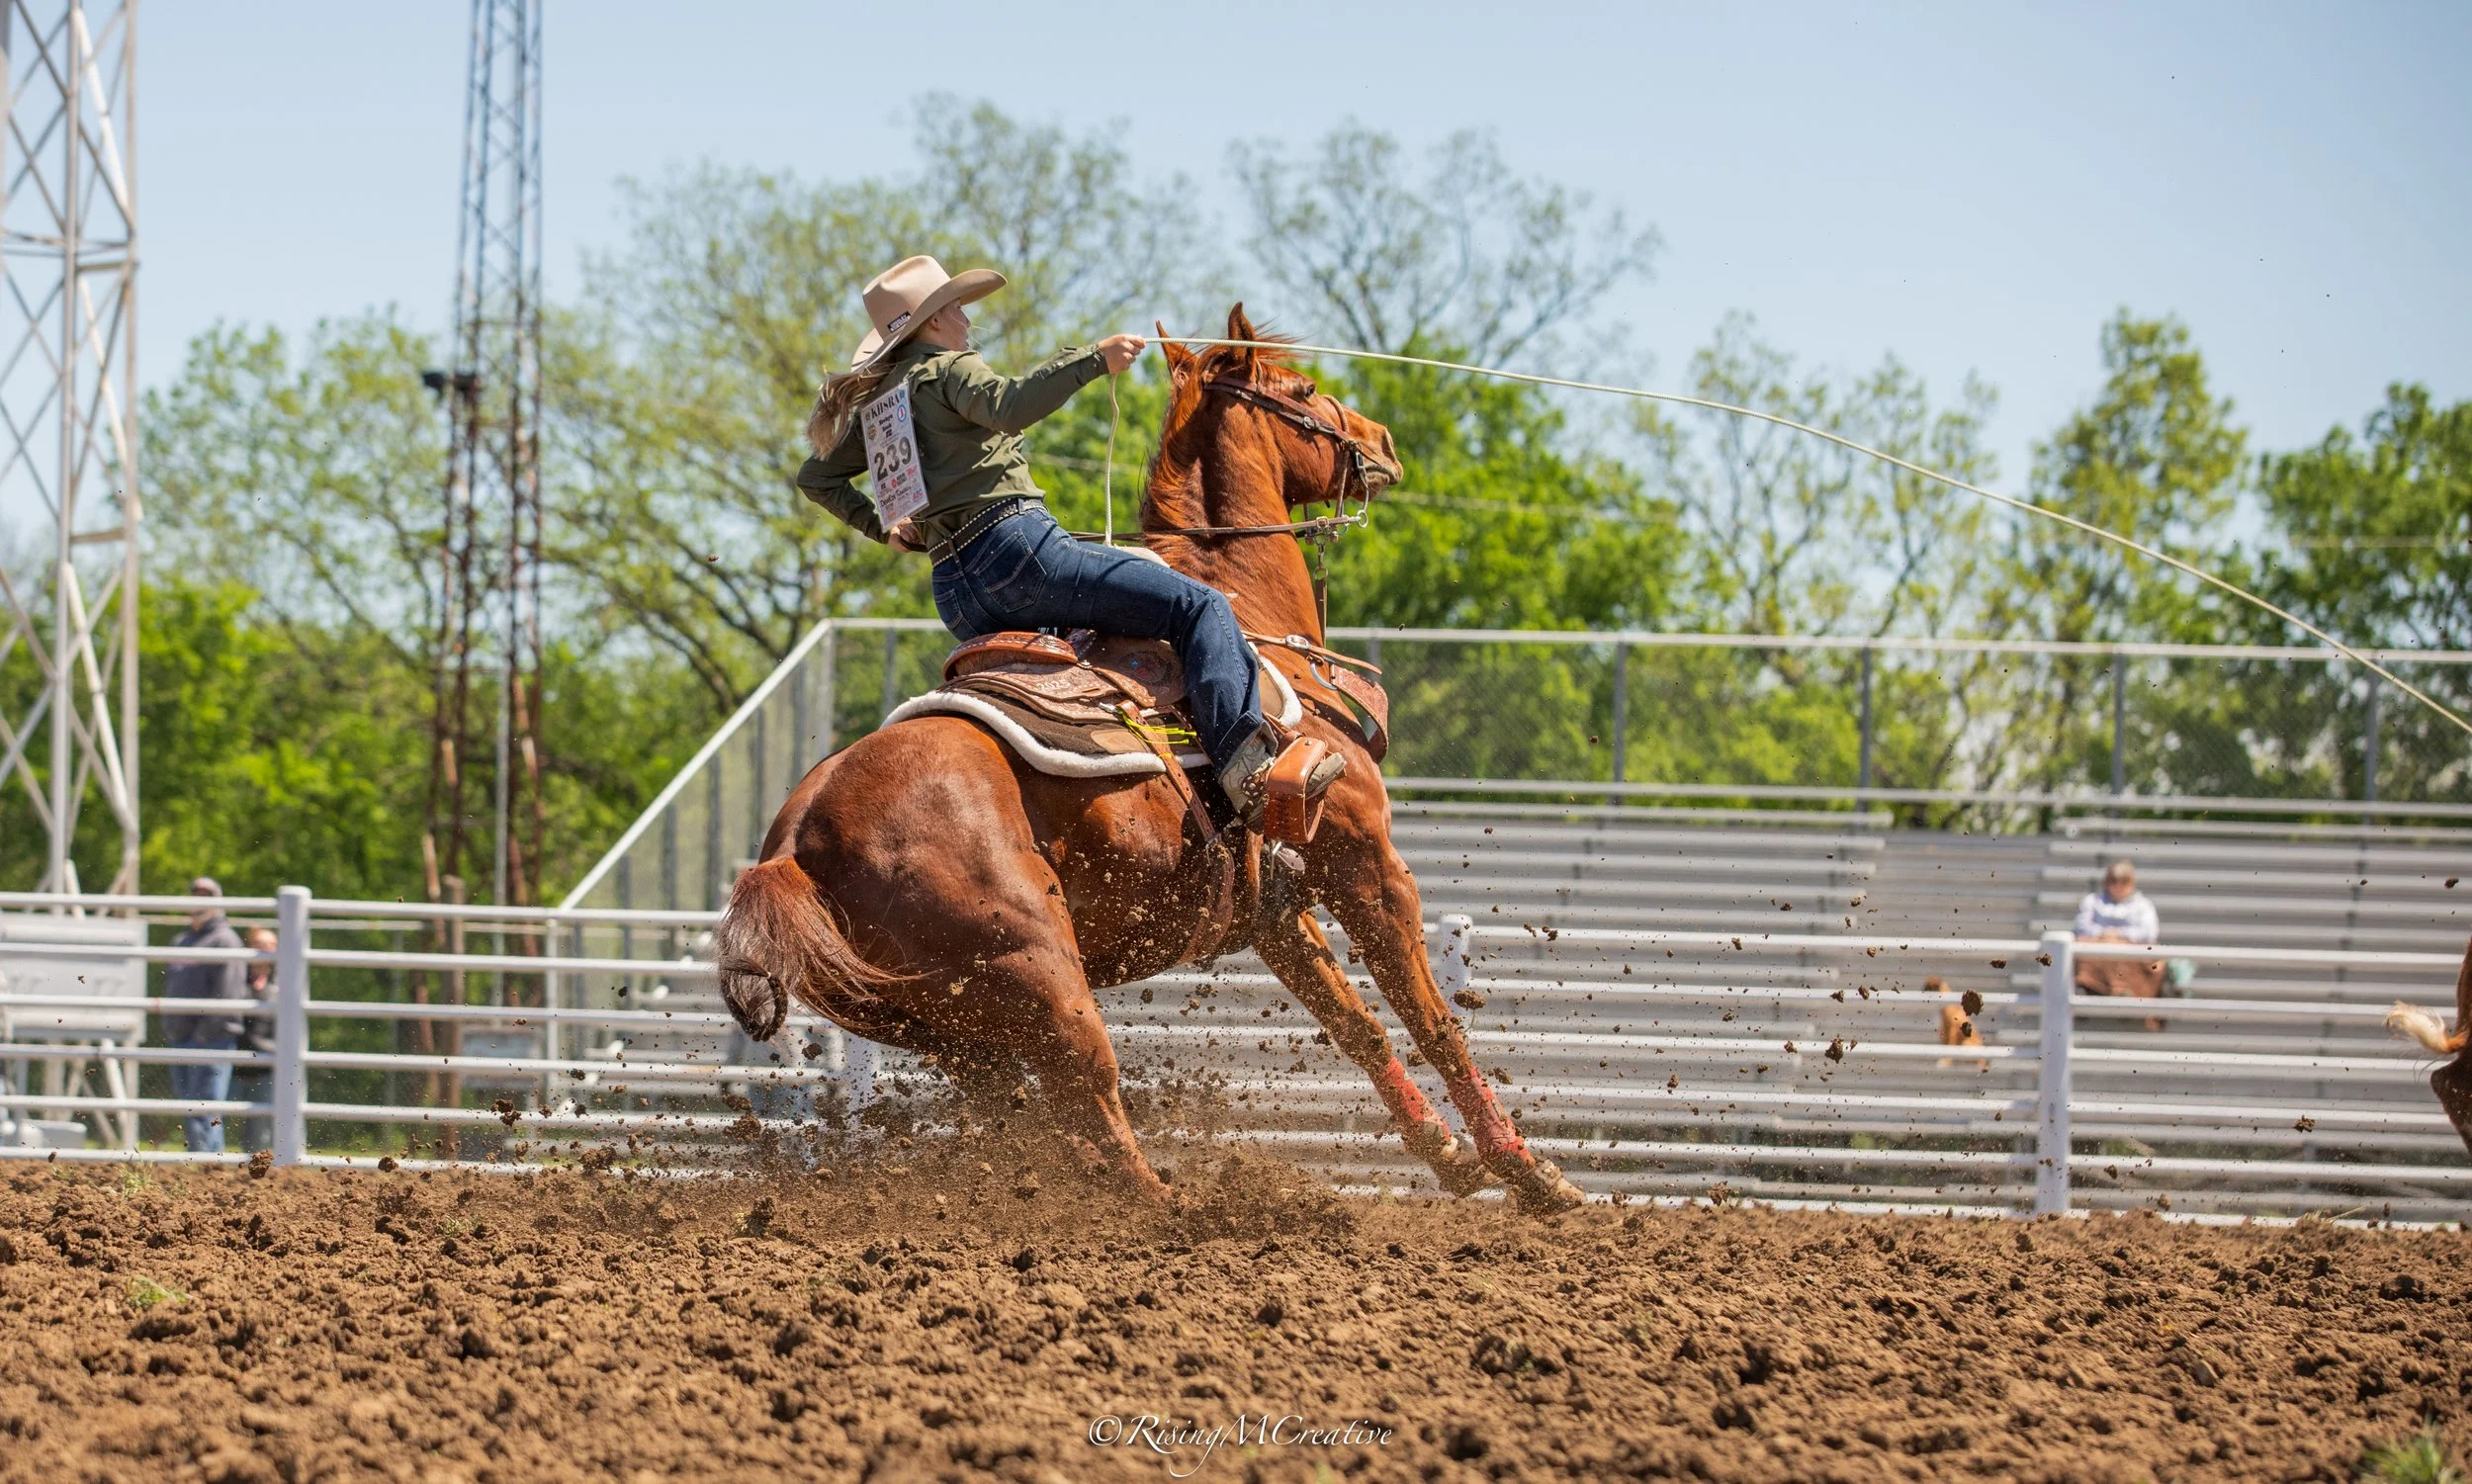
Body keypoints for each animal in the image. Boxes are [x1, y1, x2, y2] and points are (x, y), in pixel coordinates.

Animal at [715, 305, 1586, 1215]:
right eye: (1306, 388)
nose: (1379, 440)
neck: (1244, 607)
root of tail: (793, 846)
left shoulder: (1273, 907)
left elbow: (1357, 1024)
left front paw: (1447, 1154)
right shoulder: (1362, 857)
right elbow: (1432, 1018)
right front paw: (1530, 1172)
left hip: (957, 1033)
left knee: (1034, 1125)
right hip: (1043, 979)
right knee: (1095, 1112)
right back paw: (1183, 1209)